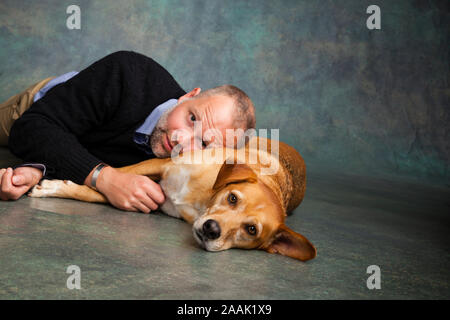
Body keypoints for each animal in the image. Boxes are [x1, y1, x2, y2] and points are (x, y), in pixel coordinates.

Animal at [29, 136, 316, 262]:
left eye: (251, 229)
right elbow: (114, 177)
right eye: (233, 198)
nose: (212, 230)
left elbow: (98, 194)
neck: (204, 199)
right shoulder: (160, 164)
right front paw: (53, 186)